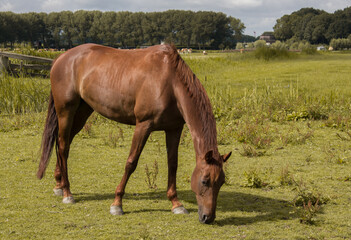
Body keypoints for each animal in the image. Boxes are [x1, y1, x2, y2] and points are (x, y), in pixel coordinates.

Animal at [37, 42, 232, 223]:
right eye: (205, 181)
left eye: (221, 182)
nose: (208, 217)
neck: (170, 83)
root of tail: (61, 58)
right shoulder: (143, 126)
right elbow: (131, 163)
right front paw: (117, 204)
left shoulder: (174, 129)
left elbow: (173, 164)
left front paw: (176, 203)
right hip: (66, 111)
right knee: (63, 147)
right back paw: (67, 193)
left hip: (83, 111)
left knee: (64, 143)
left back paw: (59, 184)